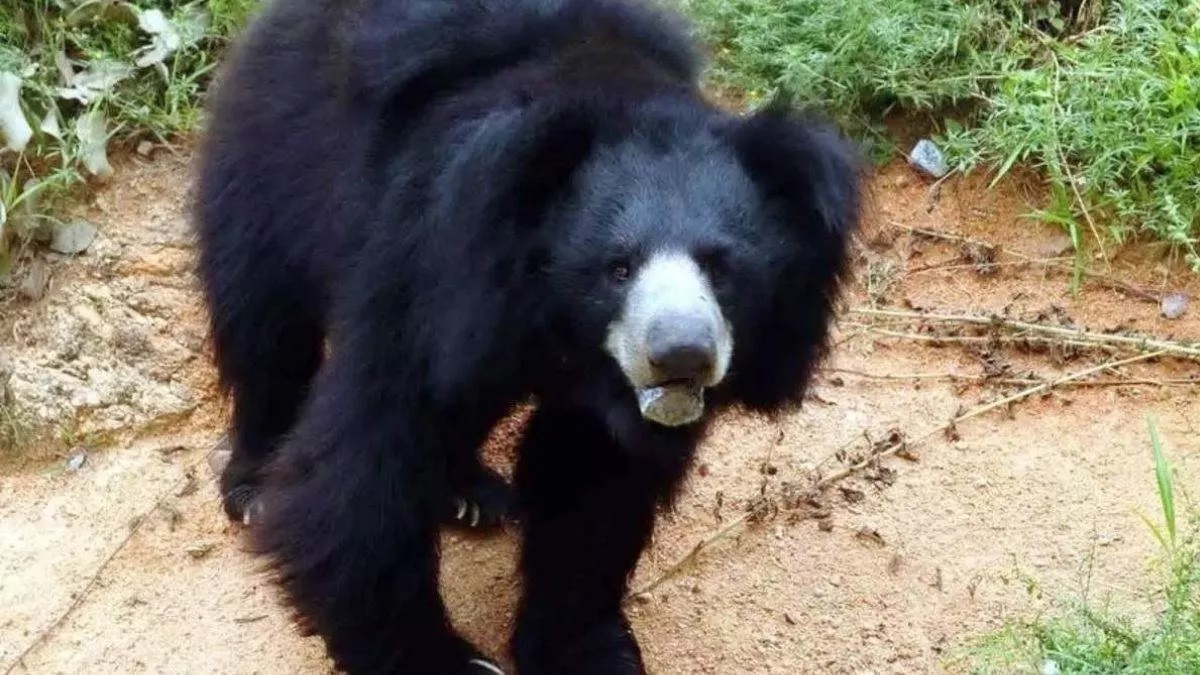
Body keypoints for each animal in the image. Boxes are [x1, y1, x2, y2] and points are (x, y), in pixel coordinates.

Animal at [192, 0, 861, 673]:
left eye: (722, 268)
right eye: (617, 267)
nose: (681, 356)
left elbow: (592, 485)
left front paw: (585, 650)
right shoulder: (427, 268)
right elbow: (364, 465)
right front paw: (448, 660)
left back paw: (470, 493)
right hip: (269, 169)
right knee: (266, 326)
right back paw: (253, 485)